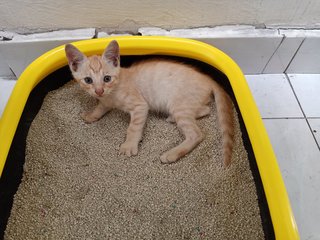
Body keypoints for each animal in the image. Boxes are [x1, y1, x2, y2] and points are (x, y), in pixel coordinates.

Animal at [65, 39, 235, 167]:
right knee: (206, 109)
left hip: (179, 105)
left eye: (107, 78)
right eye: (88, 80)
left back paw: (171, 154)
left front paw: (129, 145)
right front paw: (91, 115)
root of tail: (208, 79)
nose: (99, 91)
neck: (113, 92)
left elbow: (133, 128)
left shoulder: (140, 105)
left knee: (196, 134)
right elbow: (100, 108)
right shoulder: (106, 101)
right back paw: (173, 118)